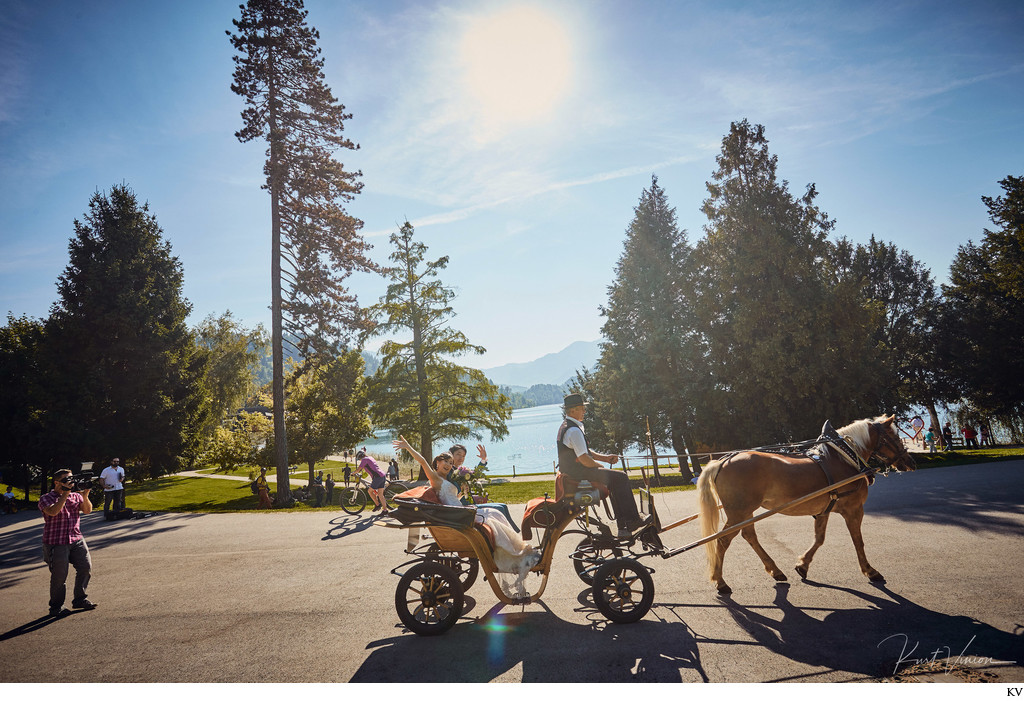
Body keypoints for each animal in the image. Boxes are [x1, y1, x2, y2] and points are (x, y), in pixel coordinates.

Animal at [700, 413, 917, 593]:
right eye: (895, 437)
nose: (910, 462)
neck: (844, 457)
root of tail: (722, 461)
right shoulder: (854, 509)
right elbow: (858, 540)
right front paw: (869, 570)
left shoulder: (824, 510)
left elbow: (819, 539)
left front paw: (803, 565)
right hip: (739, 512)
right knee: (723, 540)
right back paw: (720, 581)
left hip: (744, 512)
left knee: (749, 536)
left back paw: (775, 570)